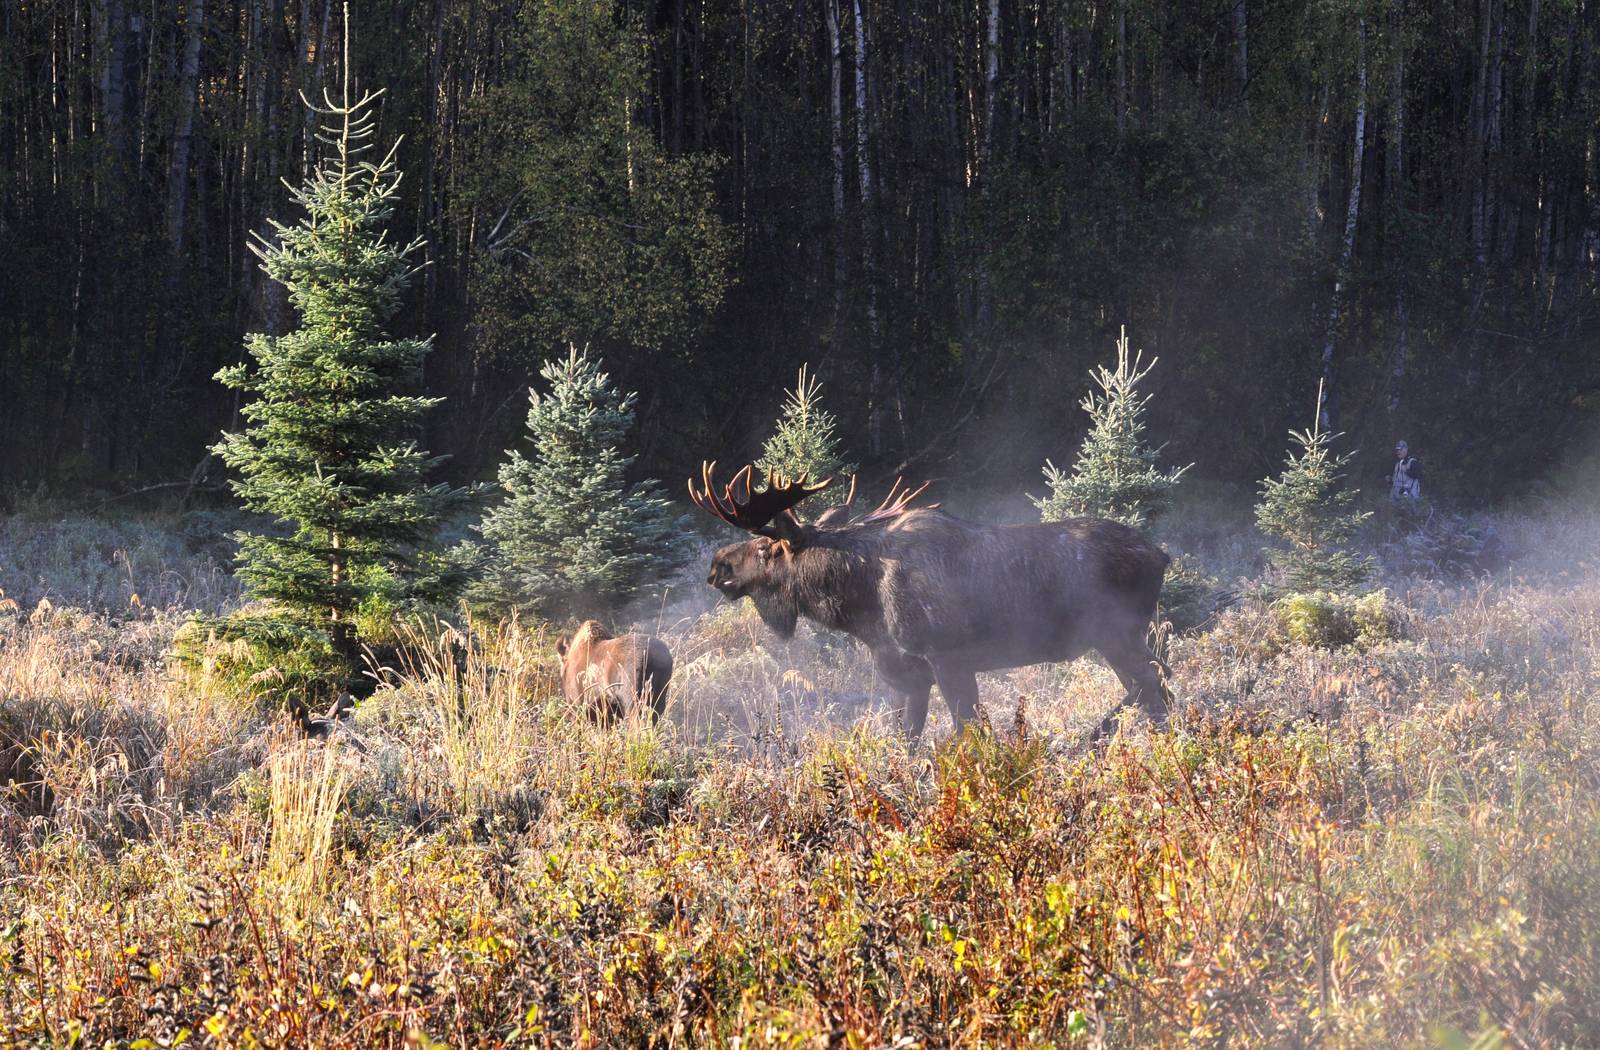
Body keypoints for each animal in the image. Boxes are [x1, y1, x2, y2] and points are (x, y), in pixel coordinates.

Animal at [688, 463, 1172, 739]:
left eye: (765, 548)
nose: (716, 567)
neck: (862, 609)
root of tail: (1161, 555)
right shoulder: (910, 672)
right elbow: (908, 739)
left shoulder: (947, 656)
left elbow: (967, 732)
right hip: (1118, 637)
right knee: (1153, 683)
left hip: (1115, 631)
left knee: (1152, 681)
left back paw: (1100, 733)